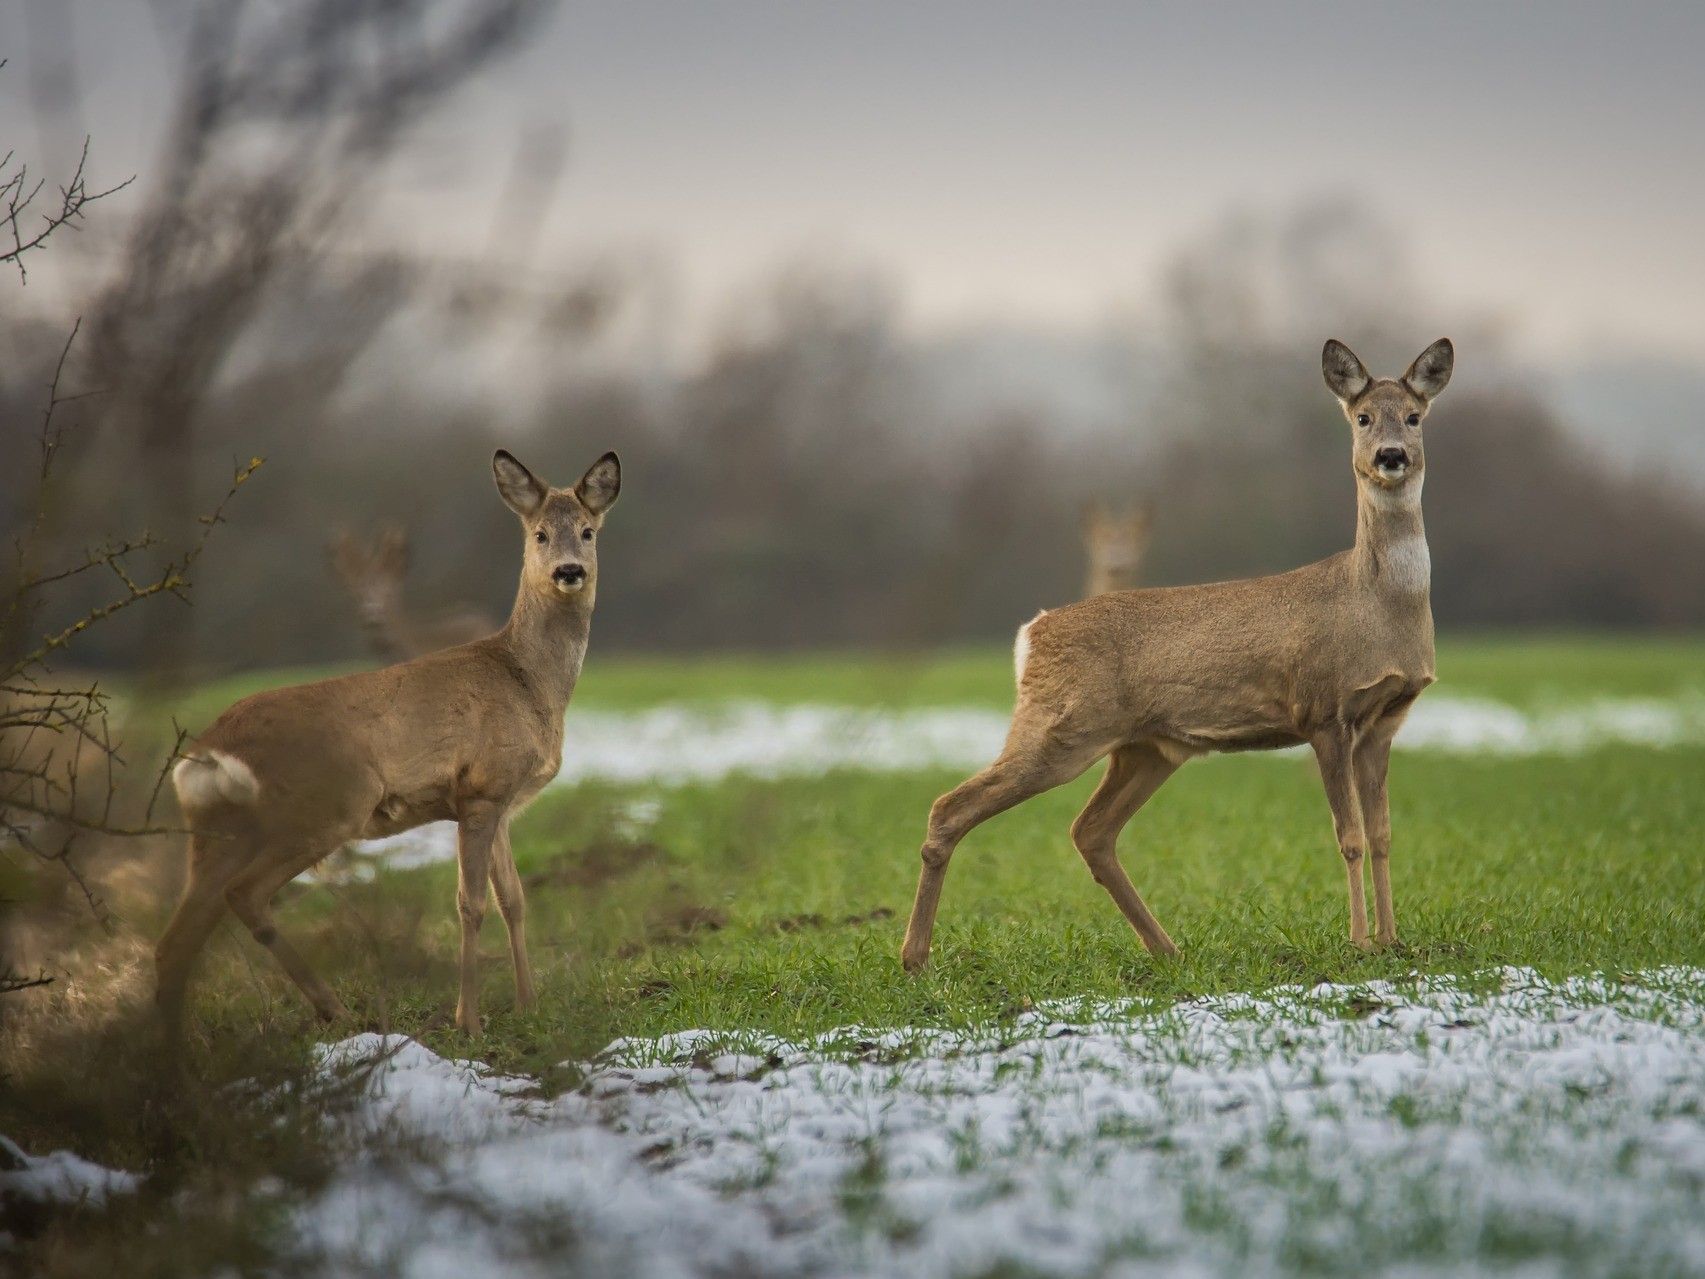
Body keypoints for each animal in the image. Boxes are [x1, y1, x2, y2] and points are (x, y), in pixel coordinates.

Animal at [907, 341, 1452, 968]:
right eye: (1362, 418)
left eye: (1413, 417)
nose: (1391, 455)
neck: (1377, 606)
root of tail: (1031, 633)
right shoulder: (1324, 713)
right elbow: (1351, 837)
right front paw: (1359, 943)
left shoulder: (1385, 719)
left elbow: (1384, 835)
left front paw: (1392, 941)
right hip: (1060, 727)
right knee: (951, 806)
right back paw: (914, 958)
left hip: (1144, 749)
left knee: (1091, 831)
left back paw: (1166, 948)